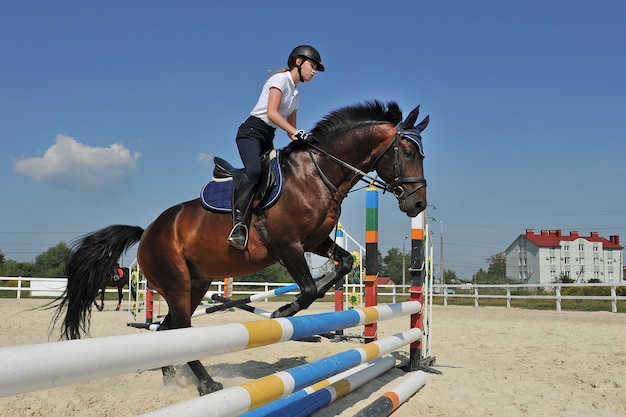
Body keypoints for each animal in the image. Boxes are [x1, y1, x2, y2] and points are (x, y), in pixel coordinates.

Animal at [52, 100, 428, 394]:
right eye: (408, 152)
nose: (418, 204)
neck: (317, 174)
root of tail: (147, 233)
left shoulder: (316, 241)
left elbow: (345, 263)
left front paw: (300, 303)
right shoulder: (287, 246)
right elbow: (306, 289)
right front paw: (282, 311)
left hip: (195, 284)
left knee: (169, 329)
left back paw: (172, 377)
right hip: (175, 282)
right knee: (180, 328)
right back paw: (206, 384)